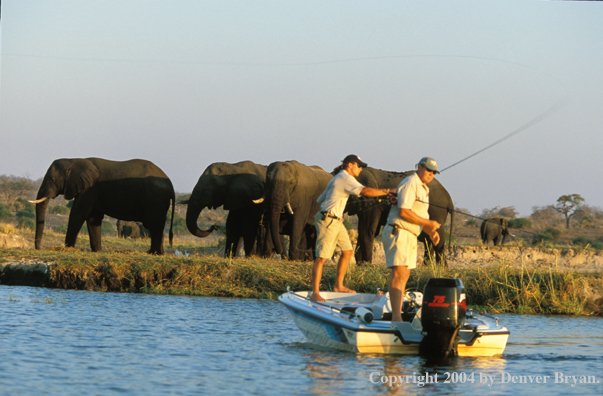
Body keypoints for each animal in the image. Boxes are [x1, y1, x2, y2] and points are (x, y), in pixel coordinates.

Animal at [30, 158, 175, 254]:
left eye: (51, 180)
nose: (39, 248)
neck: (74, 160)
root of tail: (170, 184)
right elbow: (93, 218)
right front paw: (97, 251)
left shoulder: (89, 189)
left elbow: (78, 214)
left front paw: (67, 249)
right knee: (155, 226)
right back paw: (154, 253)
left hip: (155, 198)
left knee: (155, 225)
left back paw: (155, 253)